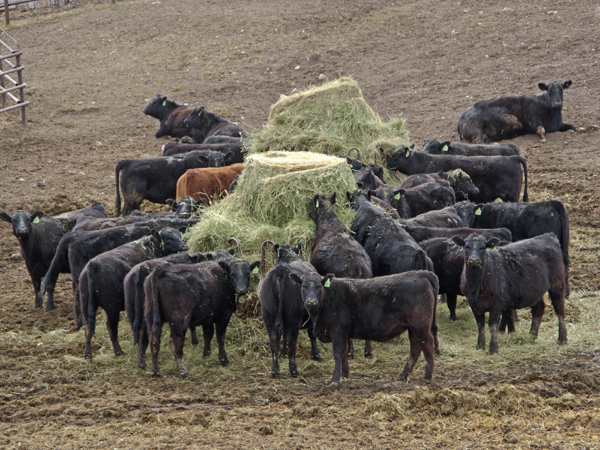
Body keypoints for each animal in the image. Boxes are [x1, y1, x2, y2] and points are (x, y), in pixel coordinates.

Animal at [78, 229, 189, 358]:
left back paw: (87, 354)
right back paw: (118, 351)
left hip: (86, 305)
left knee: (88, 327)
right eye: (168, 238)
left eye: (179, 235)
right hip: (112, 308)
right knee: (111, 326)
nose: (184, 245)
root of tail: (93, 264)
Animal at [258, 243, 322, 376]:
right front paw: (316, 355)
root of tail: (281, 270)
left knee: (274, 339)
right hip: (294, 316)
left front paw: (283, 353)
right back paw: (293, 369)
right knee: (290, 339)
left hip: (268, 314)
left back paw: (275, 369)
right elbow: (312, 333)